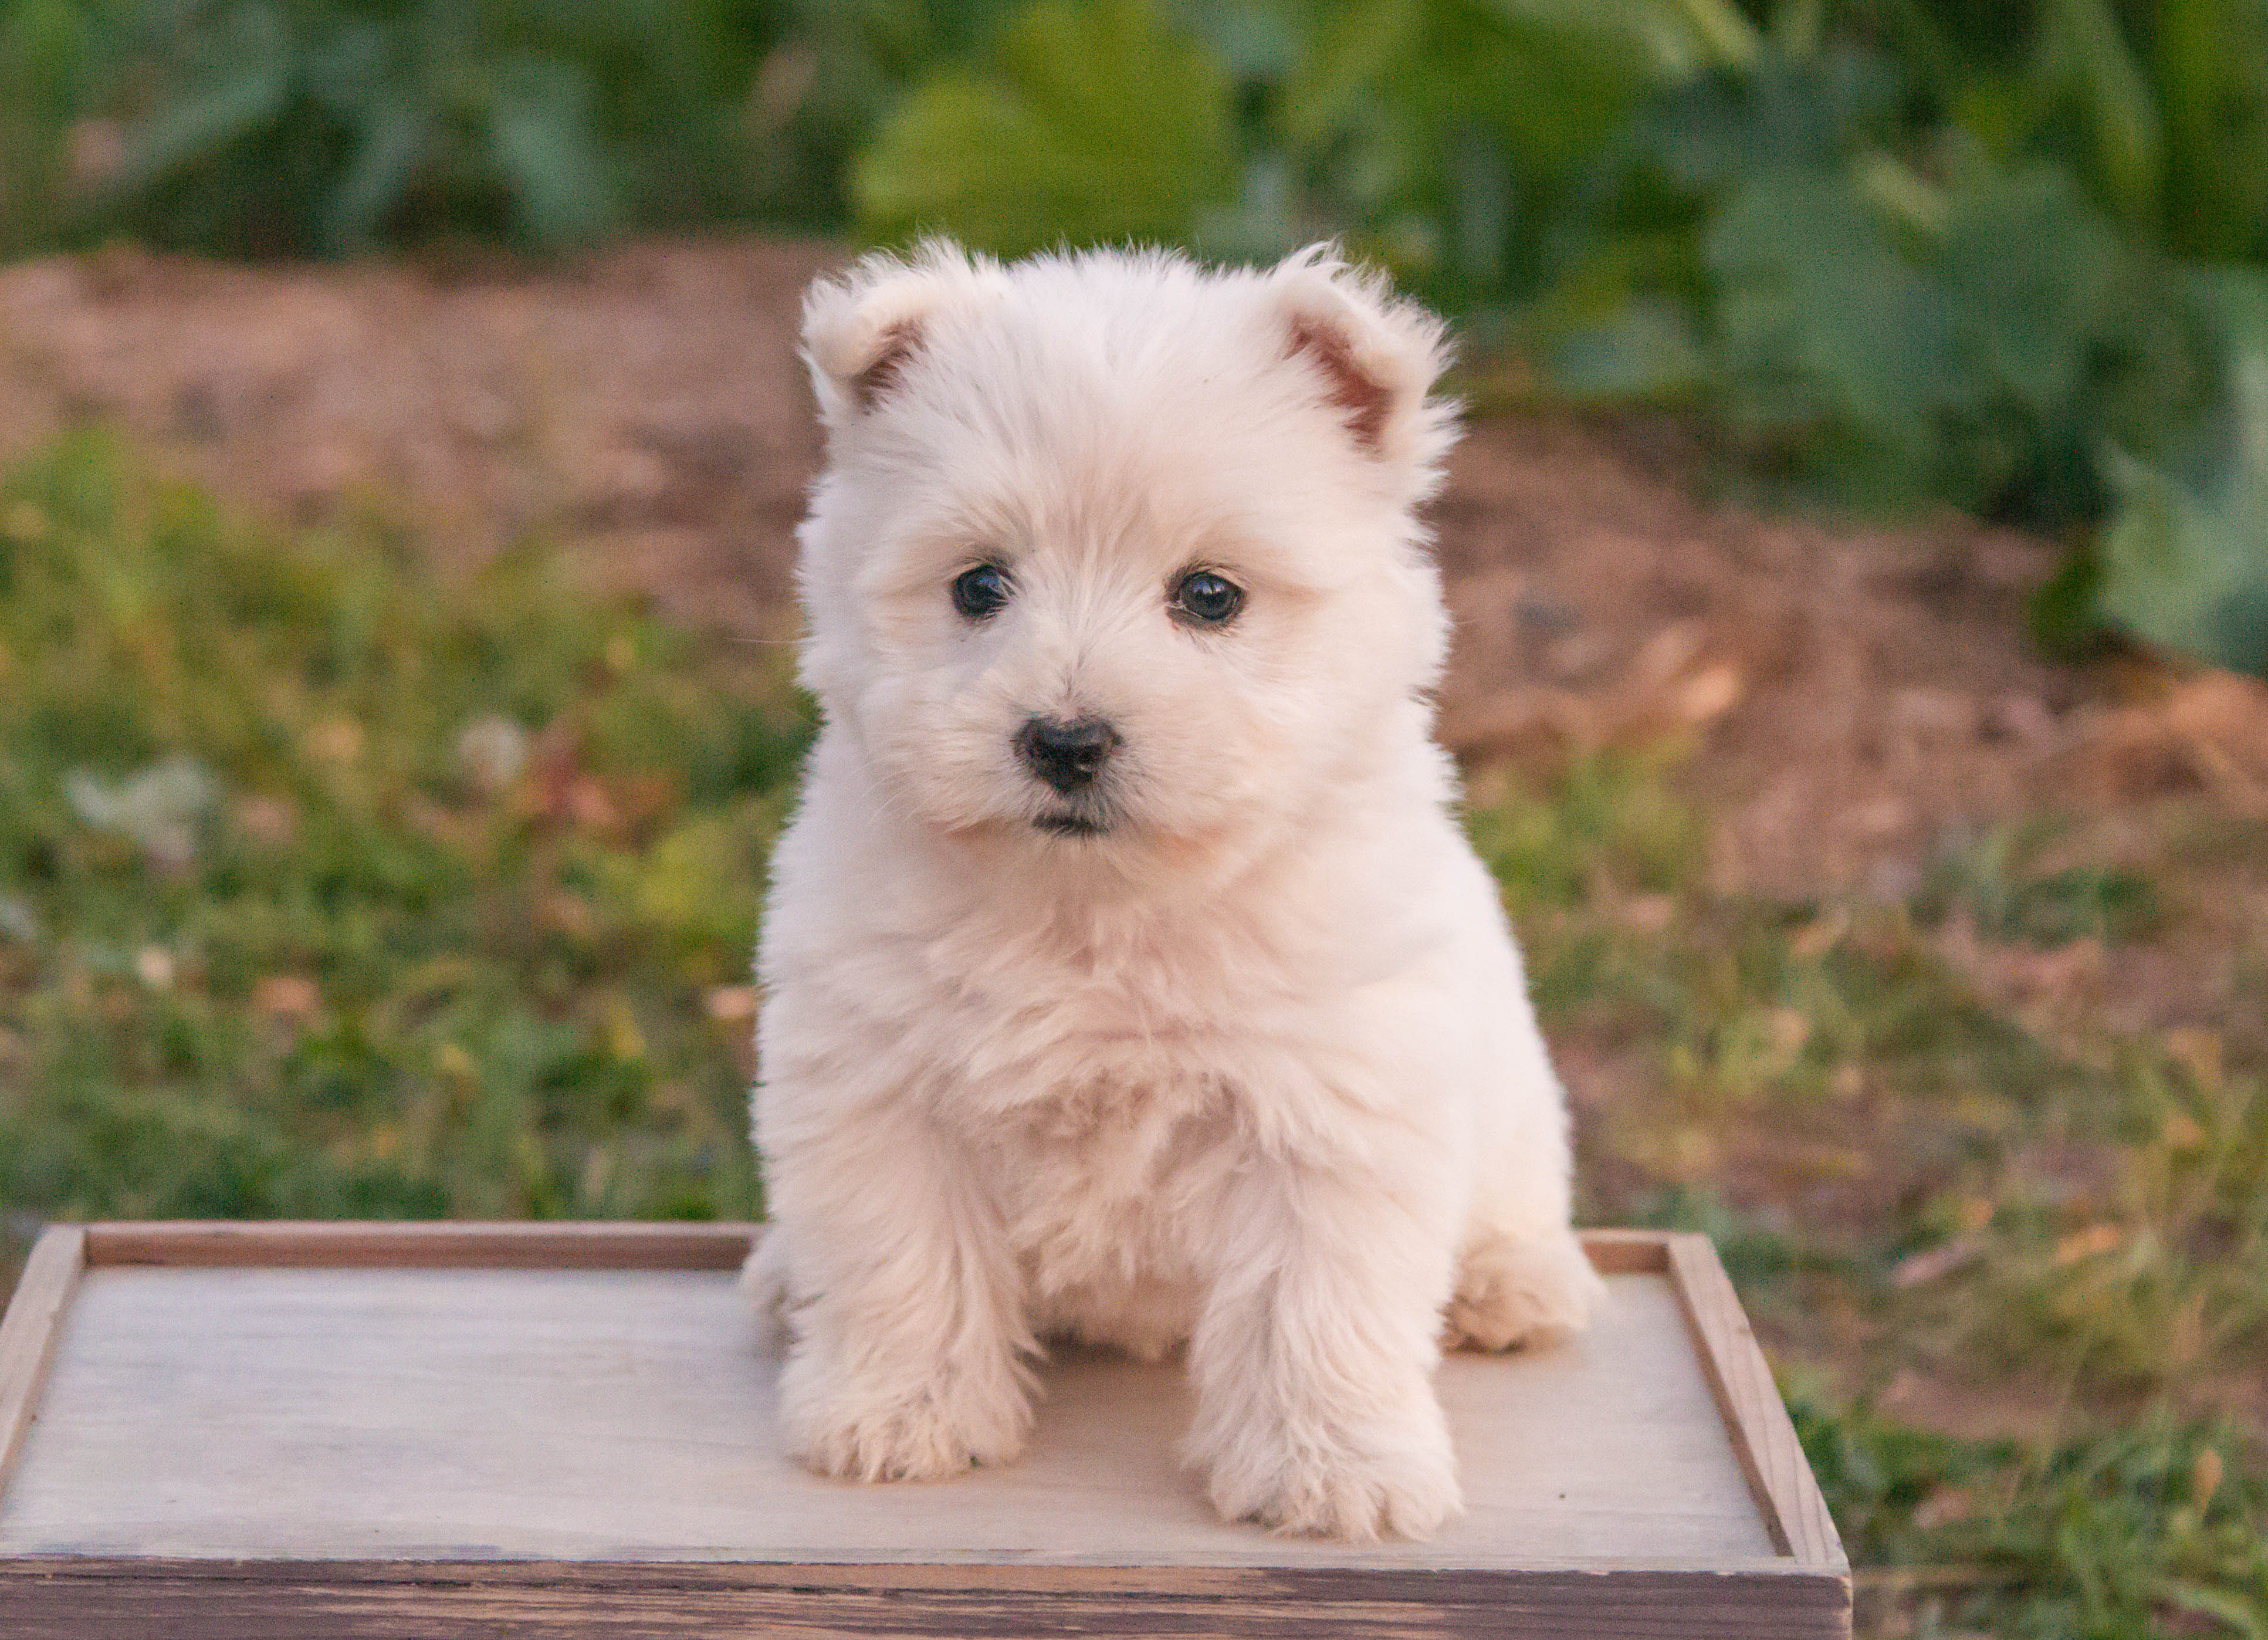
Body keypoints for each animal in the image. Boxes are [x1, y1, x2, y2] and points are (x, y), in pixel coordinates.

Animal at [753, 240, 1606, 1542]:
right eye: (978, 586)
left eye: (1210, 595)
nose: (1065, 740)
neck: (1096, 910)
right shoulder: (879, 1081)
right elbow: (903, 1258)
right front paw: (902, 1414)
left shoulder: (1329, 1107)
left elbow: (1318, 1304)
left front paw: (1335, 1471)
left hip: (1510, 1091)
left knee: (1518, 1192)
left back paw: (1515, 1285)